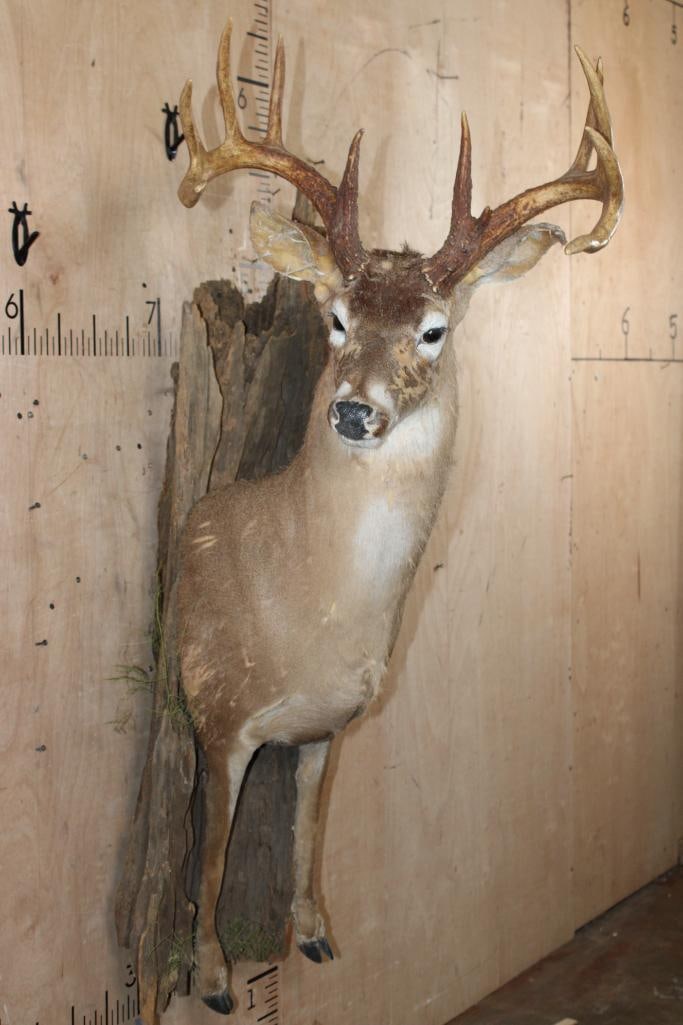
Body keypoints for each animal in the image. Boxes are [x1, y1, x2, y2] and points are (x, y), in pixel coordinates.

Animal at [174, 18, 622, 1015]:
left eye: (433, 328)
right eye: (336, 317)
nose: (352, 411)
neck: (305, 613)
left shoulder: (326, 729)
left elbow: (306, 829)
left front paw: (313, 932)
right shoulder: (217, 709)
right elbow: (212, 850)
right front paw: (214, 975)